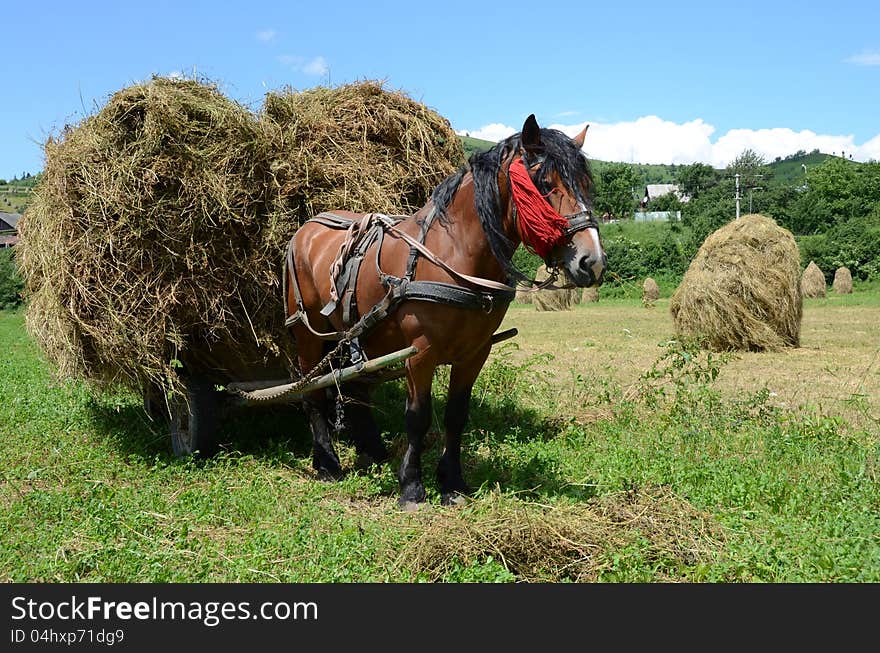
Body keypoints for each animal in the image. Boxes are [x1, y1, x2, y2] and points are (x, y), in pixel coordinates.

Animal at [288, 114, 604, 506]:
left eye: (586, 184)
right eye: (545, 185)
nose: (592, 261)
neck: (454, 255)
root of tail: (306, 229)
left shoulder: (475, 352)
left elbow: (456, 415)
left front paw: (452, 481)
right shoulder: (419, 353)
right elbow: (418, 417)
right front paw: (411, 485)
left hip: (357, 336)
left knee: (357, 387)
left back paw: (371, 451)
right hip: (306, 334)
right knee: (313, 393)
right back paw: (327, 463)